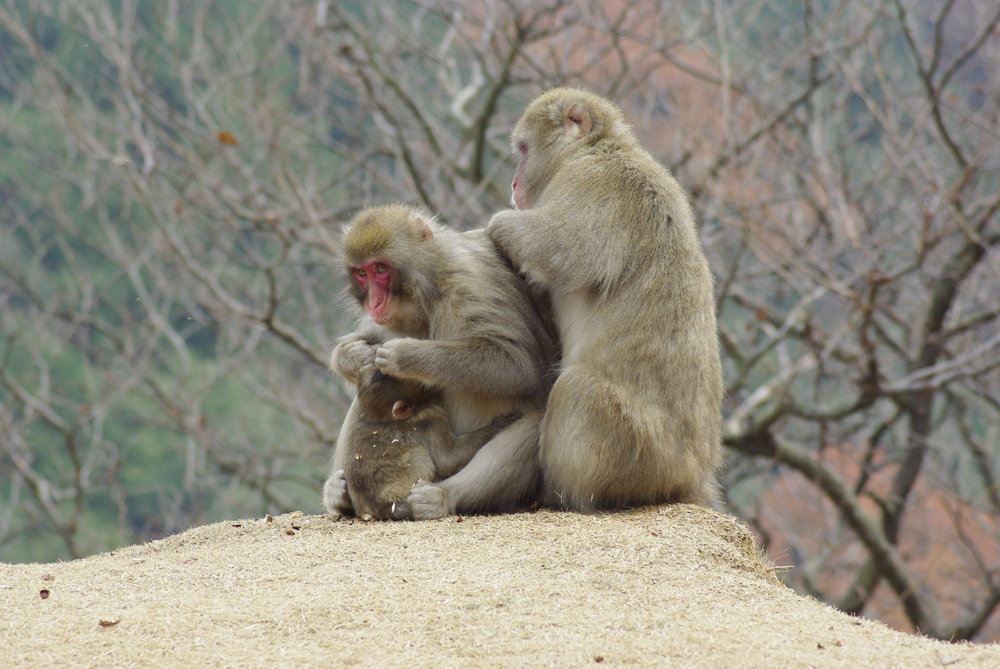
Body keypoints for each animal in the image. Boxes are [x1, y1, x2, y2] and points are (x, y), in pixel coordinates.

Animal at [344, 368, 516, 520]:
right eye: (423, 384)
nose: (437, 383)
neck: (382, 417)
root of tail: (380, 510)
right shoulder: (431, 422)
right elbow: (448, 459)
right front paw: (500, 424)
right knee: (418, 454)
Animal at [484, 86, 720, 508]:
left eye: (524, 150)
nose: (513, 185)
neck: (598, 148)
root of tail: (690, 474)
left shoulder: (593, 184)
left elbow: (560, 250)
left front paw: (498, 226)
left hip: (638, 454)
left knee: (578, 389)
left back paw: (560, 494)